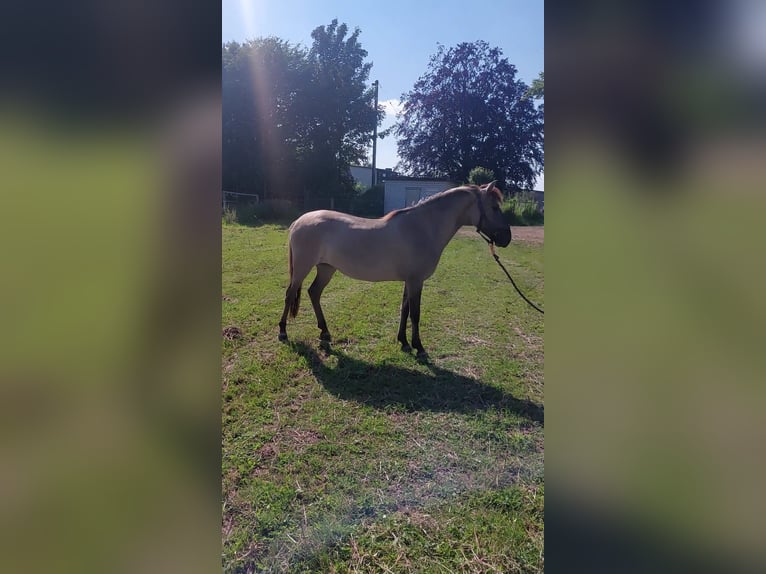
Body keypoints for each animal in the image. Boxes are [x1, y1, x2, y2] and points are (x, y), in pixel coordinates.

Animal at [280, 182, 512, 358]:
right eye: (494, 207)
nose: (506, 238)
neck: (423, 227)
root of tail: (299, 221)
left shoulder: (410, 281)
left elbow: (405, 309)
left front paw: (404, 342)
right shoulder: (416, 281)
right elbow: (415, 314)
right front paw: (419, 347)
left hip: (326, 268)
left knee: (314, 293)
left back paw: (325, 333)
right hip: (303, 267)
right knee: (290, 294)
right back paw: (283, 332)